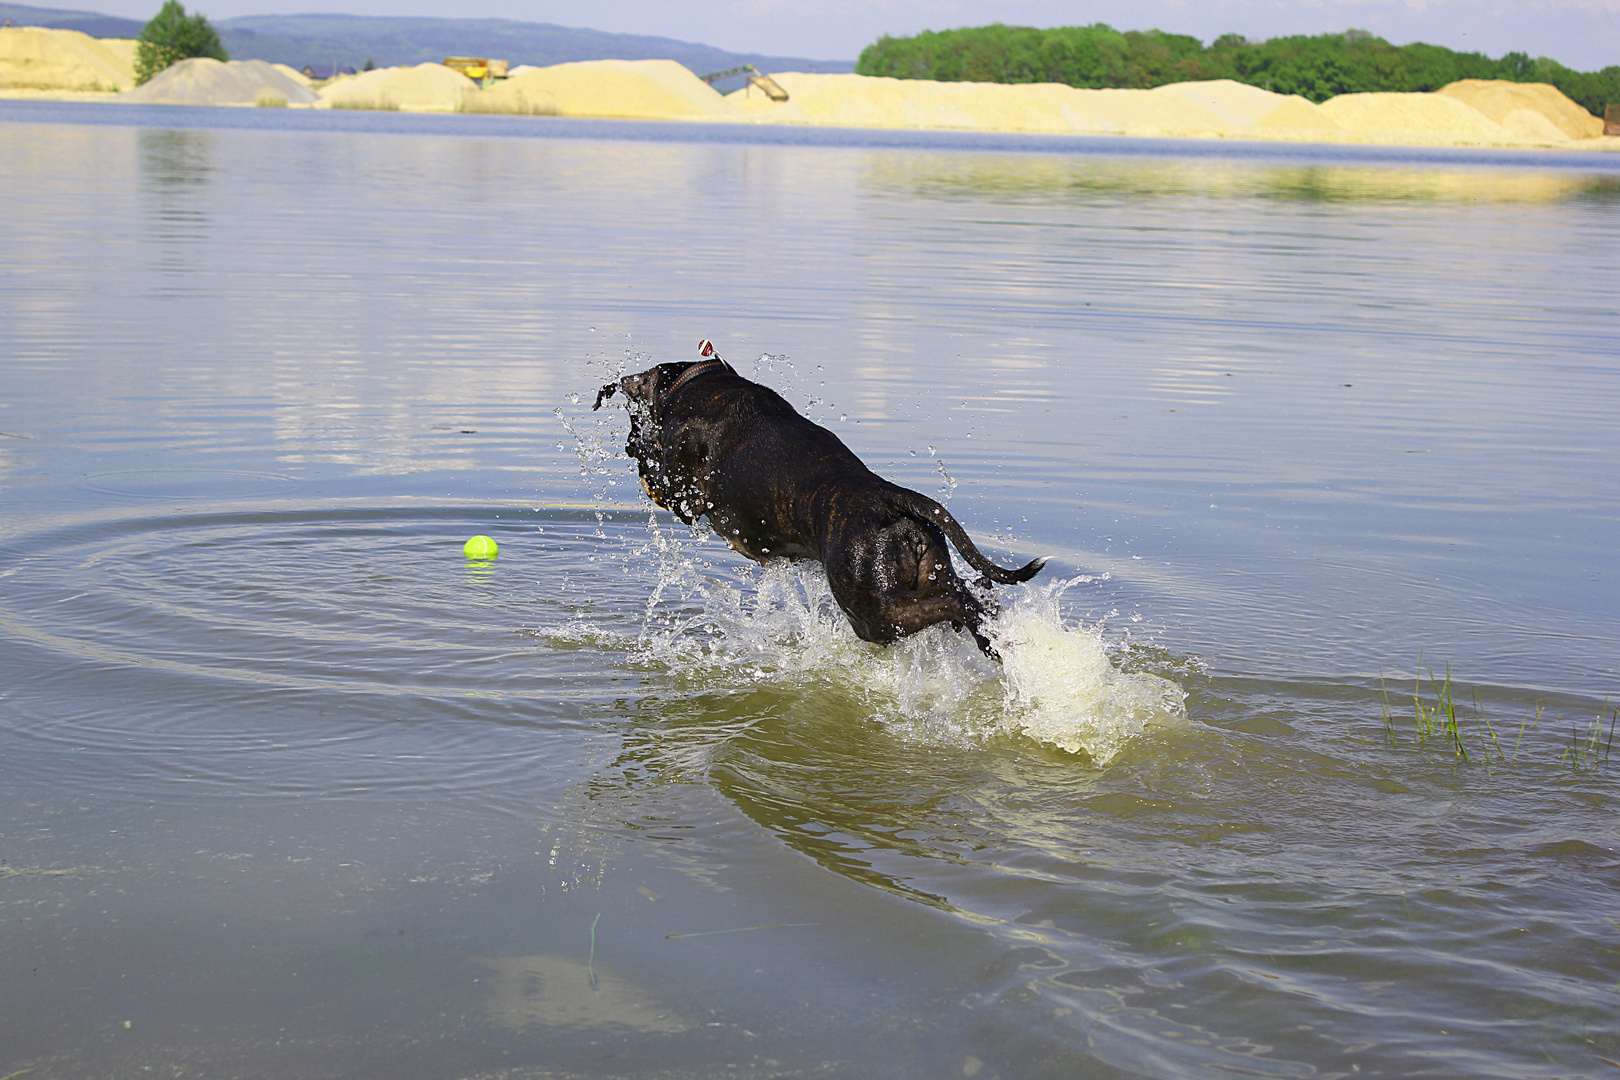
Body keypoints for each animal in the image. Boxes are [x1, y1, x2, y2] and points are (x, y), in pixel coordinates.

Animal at [599, 341, 1049, 660]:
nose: (620, 383)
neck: (698, 382)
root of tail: (888, 498)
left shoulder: (682, 489)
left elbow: (656, 474)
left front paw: (639, 451)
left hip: (873, 610)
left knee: (955, 600)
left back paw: (986, 632)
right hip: (924, 570)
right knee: (971, 587)